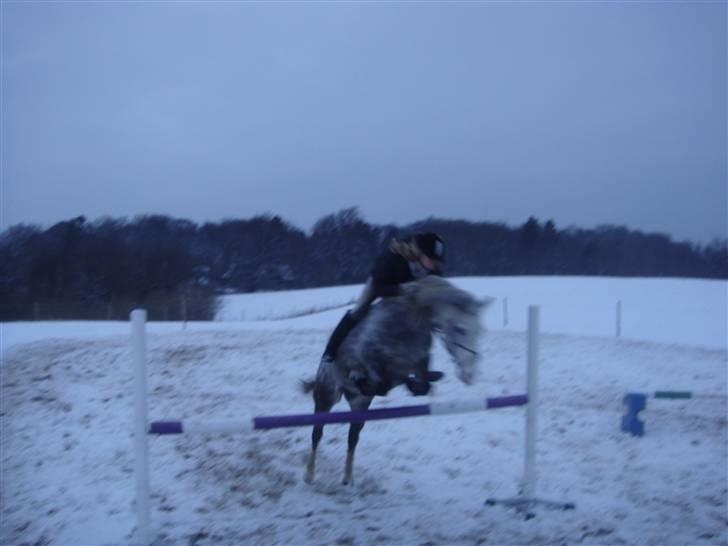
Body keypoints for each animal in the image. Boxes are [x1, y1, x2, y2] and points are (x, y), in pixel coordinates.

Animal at [298, 274, 492, 482]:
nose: (469, 375)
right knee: (317, 433)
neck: (415, 315)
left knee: (353, 437)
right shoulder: (367, 356)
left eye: (480, 331)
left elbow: (420, 382)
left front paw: (422, 382)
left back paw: (347, 478)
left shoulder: (416, 362)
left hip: (359, 405)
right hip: (326, 396)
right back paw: (309, 474)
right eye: (461, 329)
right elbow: (378, 376)